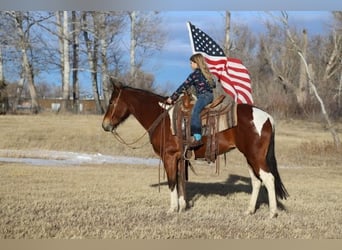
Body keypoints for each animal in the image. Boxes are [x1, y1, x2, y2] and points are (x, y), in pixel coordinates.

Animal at [102, 83, 288, 218]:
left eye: (111, 102)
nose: (105, 125)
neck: (162, 117)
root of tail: (268, 118)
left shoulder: (169, 157)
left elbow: (172, 182)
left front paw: (172, 209)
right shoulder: (179, 158)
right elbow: (180, 181)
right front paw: (182, 206)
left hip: (256, 156)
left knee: (268, 178)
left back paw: (272, 213)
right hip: (250, 157)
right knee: (257, 181)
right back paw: (249, 210)